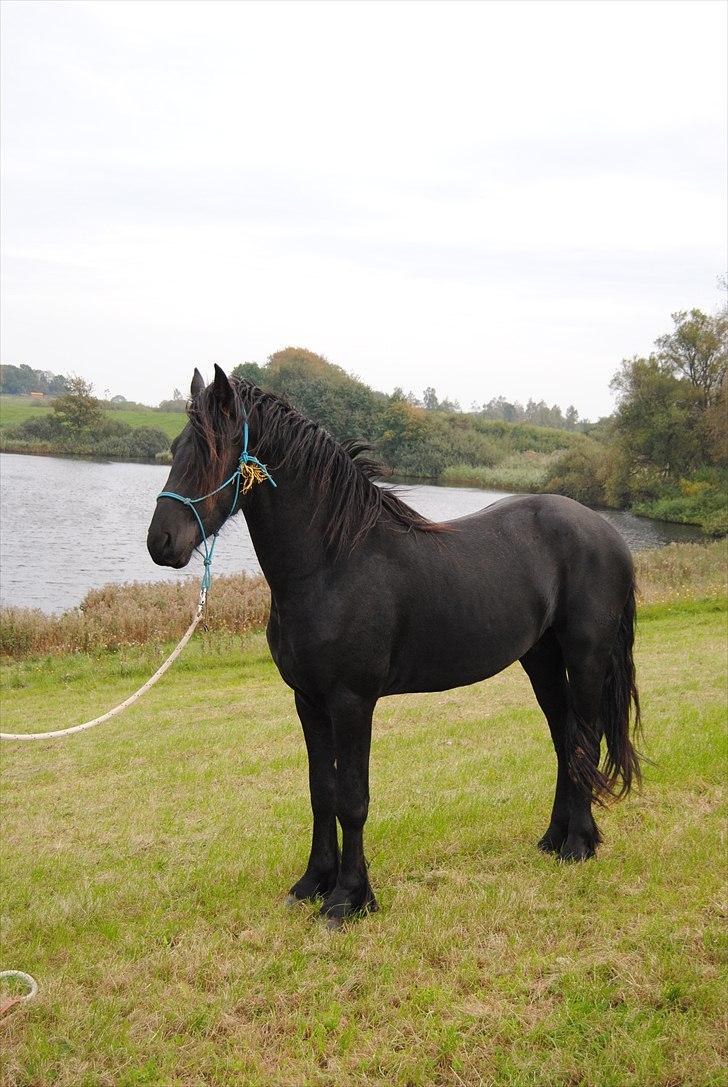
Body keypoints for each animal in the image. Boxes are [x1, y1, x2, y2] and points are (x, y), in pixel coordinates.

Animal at [147, 365, 641, 928]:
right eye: (176, 448)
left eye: (213, 452)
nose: (161, 542)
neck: (334, 563)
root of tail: (607, 532)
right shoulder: (308, 701)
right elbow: (321, 792)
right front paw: (312, 883)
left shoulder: (351, 702)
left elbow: (352, 799)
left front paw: (348, 899)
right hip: (540, 661)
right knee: (564, 742)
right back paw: (554, 839)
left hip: (586, 658)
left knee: (585, 742)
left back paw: (579, 844)